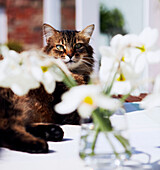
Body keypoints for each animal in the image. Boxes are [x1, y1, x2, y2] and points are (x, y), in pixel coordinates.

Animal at [0, 23, 95, 153]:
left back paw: (53, 132)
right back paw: (39, 144)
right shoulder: (66, 111)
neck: (73, 74)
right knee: (7, 129)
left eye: (78, 45)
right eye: (59, 47)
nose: (70, 55)